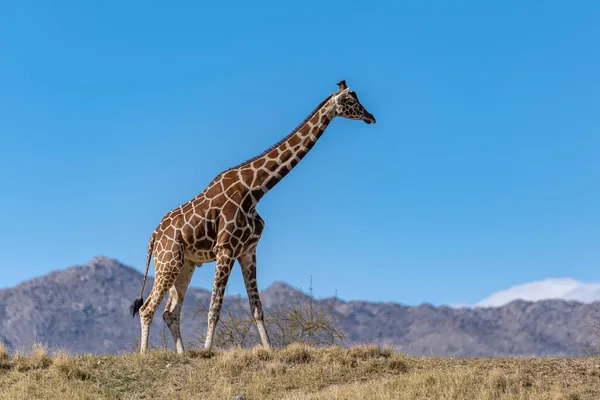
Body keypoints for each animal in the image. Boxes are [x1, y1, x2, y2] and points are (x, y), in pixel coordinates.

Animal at [131, 79, 376, 354]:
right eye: (351, 101)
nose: (370, 117)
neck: (255, 189)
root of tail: (154, 235)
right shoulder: (226, 249)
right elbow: (214, 309)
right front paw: (207, 351)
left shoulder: (248, 250)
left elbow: (257, 309)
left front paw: (268, 350)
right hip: (168, 261)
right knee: (147, 308)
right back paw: (144, 355)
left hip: (186, 264)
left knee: (170, 312)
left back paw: (182, 355)